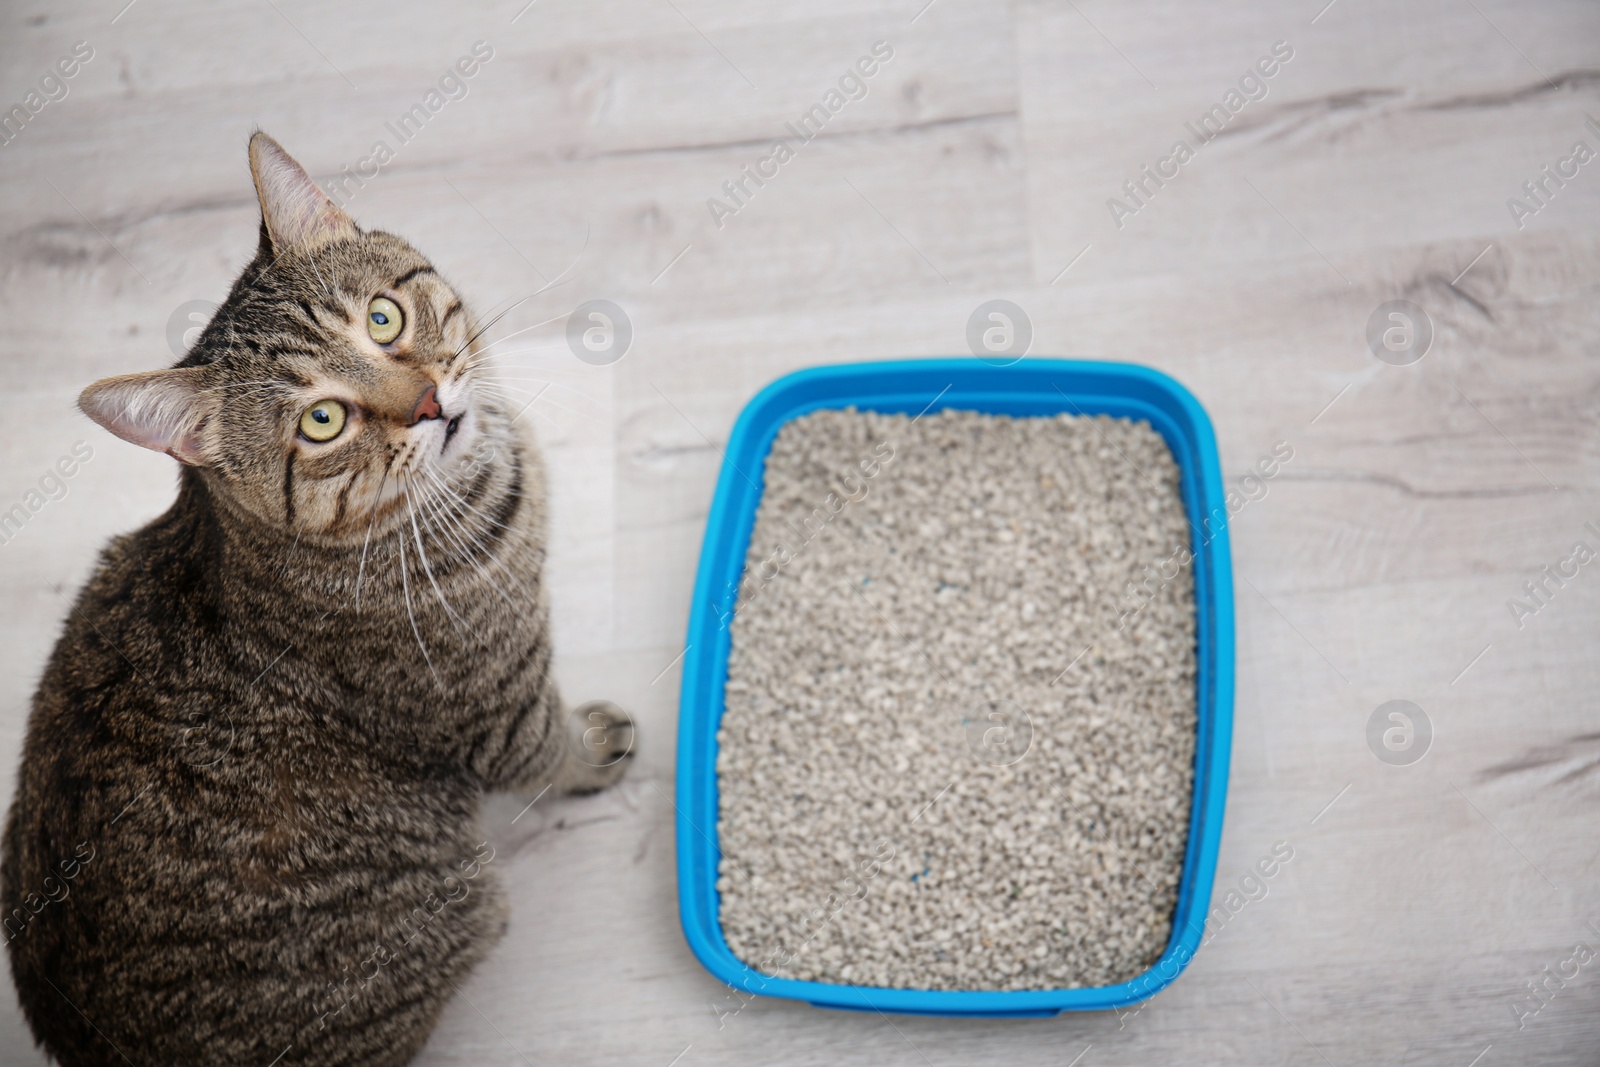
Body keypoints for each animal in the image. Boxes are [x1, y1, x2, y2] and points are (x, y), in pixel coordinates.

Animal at [3, 133, 633, 1067]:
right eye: (323, 421)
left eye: (383, 319)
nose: (430, 404)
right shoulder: (496, 708)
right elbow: (552, 750)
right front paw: (596, 748)